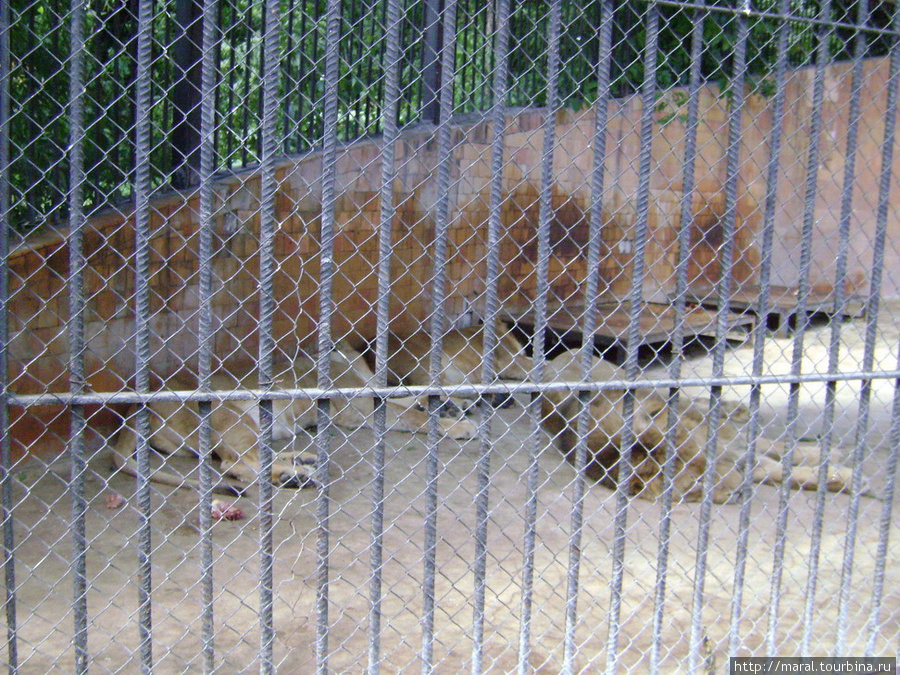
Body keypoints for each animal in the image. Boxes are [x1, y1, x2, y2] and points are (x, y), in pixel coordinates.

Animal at [112, 344, 478, 496]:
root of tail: (137, 409)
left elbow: (407, 398)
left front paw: (453, 403)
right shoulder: (358, 409)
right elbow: (409, 415)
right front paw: (457, 423)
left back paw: (303, 461)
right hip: (230, 414)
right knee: (236, 464)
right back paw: (296, 477)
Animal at [536, 352, 856, 504]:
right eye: (696, 486)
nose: (739, 491)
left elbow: (781, 452)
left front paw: (840, 465)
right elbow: (787, 471)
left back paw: (739, 410)